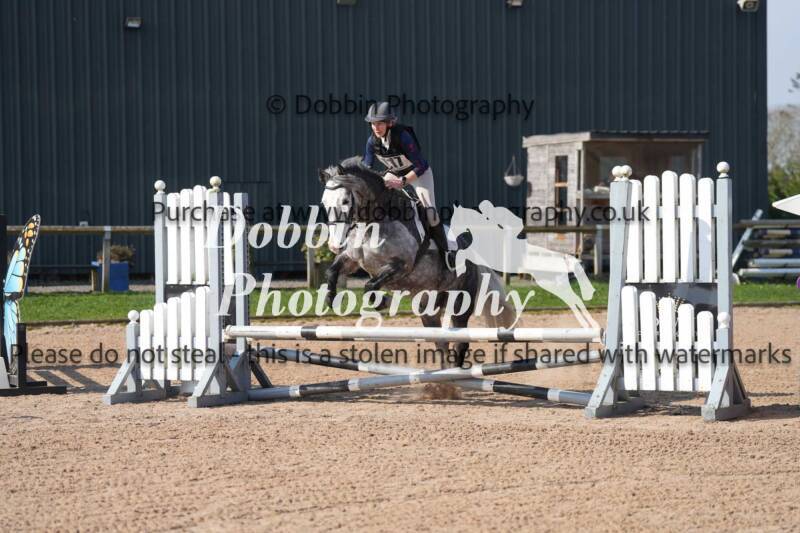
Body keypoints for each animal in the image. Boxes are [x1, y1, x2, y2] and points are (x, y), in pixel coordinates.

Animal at [317, 157, 515, 368]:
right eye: (324, 203)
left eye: (345, 201)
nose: (333, 245)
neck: (374, 221)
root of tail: (473, 259)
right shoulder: (353, 260)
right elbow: (332, 271)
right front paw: (331, 299)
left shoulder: (402, 265)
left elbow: (370, 285)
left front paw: (383, 302)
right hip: (428, 308)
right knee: (441, 343)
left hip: (460, 303)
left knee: (460, 341)